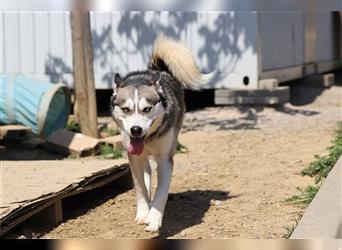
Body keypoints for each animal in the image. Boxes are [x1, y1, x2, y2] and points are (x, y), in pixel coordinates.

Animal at [111, 35, 211, 232]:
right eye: (126, 109)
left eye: (147, 109)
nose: (135, 130)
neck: (149, 138)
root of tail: (158, 70)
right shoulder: (133, 157)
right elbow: (140, 187)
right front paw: (144, 212)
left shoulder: (165, 159)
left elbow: (162, 192)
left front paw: (154, 218)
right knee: (146, 171)